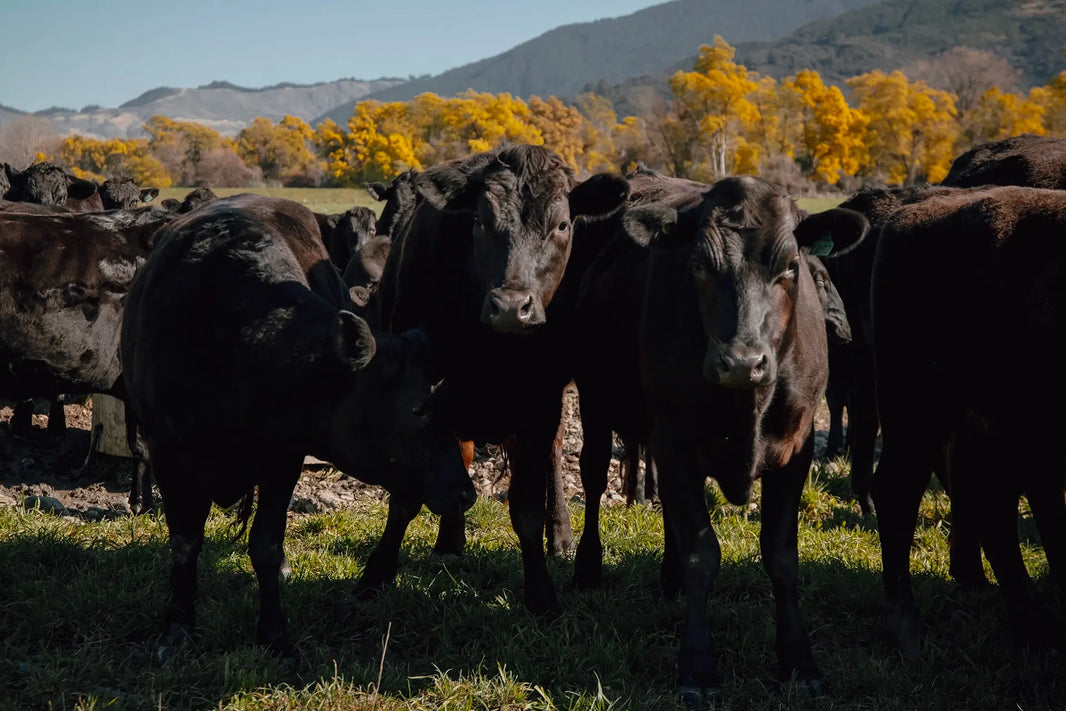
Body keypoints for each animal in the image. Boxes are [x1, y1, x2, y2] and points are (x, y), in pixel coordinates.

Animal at [118, 195, 477, 660]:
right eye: (418, 408)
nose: (467, 493)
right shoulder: (167, 450)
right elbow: (184, 542)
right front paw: (177, 627)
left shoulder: (283, 454)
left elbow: (266, 545)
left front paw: (274, 635)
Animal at [366, 142, 626, 613]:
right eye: (480, 221)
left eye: (562, 224)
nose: (510, 306)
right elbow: (407, 497)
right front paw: (376, 575)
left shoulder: (540, 402)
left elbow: (526, 508)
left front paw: (541, 592)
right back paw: (450, 541)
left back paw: (560, 536)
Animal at [622, 178, 865, 707]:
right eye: (698, 265)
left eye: (790, 266)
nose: (740, 362)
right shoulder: (672, 444)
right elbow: (699, 554)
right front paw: (697, 668)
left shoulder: (796, 448)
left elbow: (781, 556)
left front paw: (799, 661)